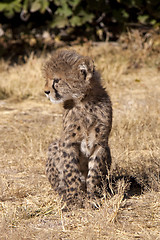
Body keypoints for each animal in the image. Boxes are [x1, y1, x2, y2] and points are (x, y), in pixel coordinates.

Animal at [42, 49, 112, 203]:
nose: (46, 92)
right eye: (47, 79)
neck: (84, 101)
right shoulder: (68, 142)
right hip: (54, 146)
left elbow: (95, 171)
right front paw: (74, 198)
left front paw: (92, 196)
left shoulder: (100, 143)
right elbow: (70, 171)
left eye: (56, 80)